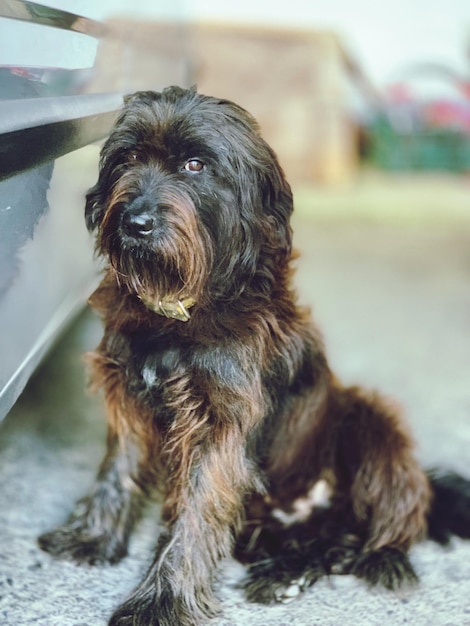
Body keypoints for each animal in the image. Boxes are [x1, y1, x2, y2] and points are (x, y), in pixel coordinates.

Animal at [39, 86, 470, 624]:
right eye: (130, 158)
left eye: (195, 165)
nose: (133, 222)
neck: (179, 312)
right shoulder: (128, 398)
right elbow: (117, 470)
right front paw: (94, 537)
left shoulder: (217, 425)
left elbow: (195, 514)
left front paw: (161, 599)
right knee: (326, 541)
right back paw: (286, 573)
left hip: (370, 419)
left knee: (375, 532)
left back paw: (371, 559)